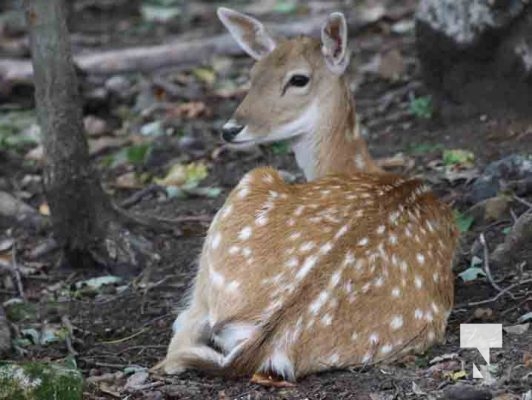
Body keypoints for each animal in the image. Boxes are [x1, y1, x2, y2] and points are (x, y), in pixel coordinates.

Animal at [153, 7, 458, 384]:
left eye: (299, 79)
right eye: (252, 74)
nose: (230, 129)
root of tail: (266, 340)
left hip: (250, 185)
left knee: (179, 339)